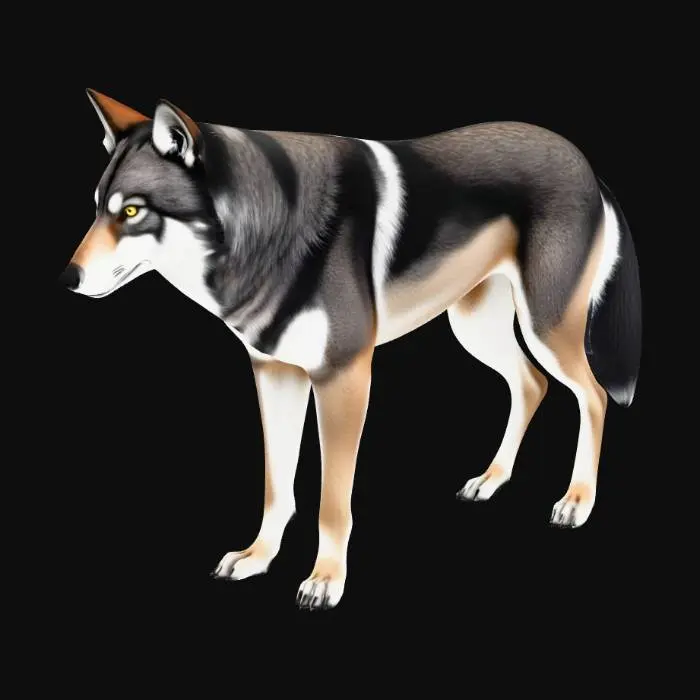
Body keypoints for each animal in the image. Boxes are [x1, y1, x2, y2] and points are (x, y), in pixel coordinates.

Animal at [59, 90, 642, 610]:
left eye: (132, 212)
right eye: (97, 209)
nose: (67, 280)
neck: (268, 228)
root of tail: (585, 164)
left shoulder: (343, 378)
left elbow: (331, 503)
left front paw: (325, 582)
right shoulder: (274, 373)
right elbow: (277, 486)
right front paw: (257, 558)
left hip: (546, 329)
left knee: (592, 395)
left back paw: (577, 501)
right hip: (475, 327)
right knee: (531, 383)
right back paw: (490, 481)